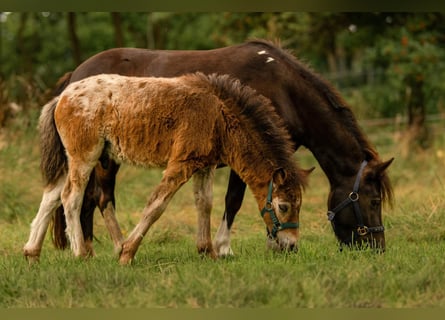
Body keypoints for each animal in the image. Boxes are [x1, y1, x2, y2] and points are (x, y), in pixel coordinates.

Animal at [49, 38, 392, 254]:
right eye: (374, 201)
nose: (377, 248)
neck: (283, 88)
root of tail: (74, 77)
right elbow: (235, 200)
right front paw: (226, 247)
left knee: (86, 199)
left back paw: (89, 247)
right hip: (102, 157)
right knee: (98, 198)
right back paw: (108, 247)